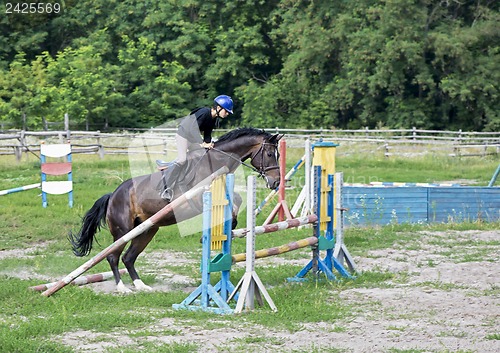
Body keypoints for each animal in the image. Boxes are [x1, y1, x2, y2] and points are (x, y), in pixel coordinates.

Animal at [68, 126, 284, 292]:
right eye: (269, 154)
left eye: (278, 155)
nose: (275, 182)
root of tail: (113, 195)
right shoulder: (196, 199)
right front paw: (215, 231)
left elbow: (236, 200)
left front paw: (231, 225)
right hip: (123, 231)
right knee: (113, 257)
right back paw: (122, 288)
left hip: (147, 229)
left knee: (128, 258)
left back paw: (141, 286)